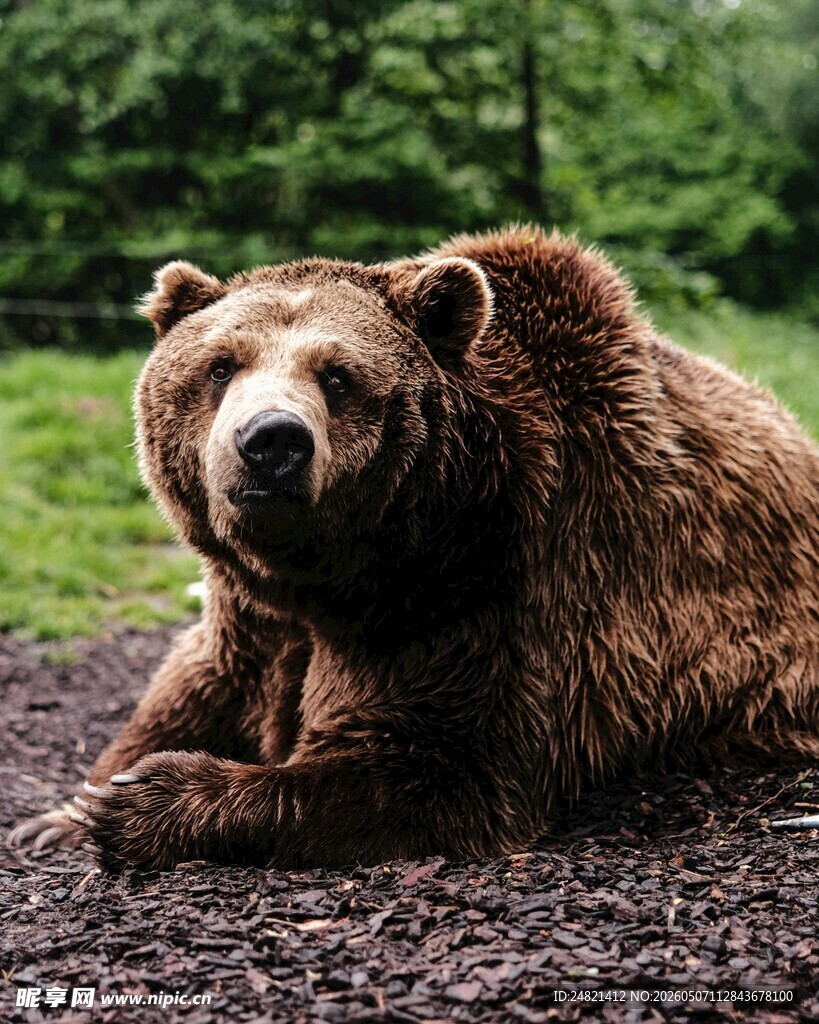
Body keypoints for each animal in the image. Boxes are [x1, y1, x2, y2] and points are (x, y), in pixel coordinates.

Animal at [9, 226, 819, 869]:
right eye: (219, 365)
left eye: (339, 376)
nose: (271, 441)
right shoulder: (252, 611)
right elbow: (196, 681)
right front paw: (61, 815)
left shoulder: (495, 592)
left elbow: (437, 767)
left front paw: (147, 800)